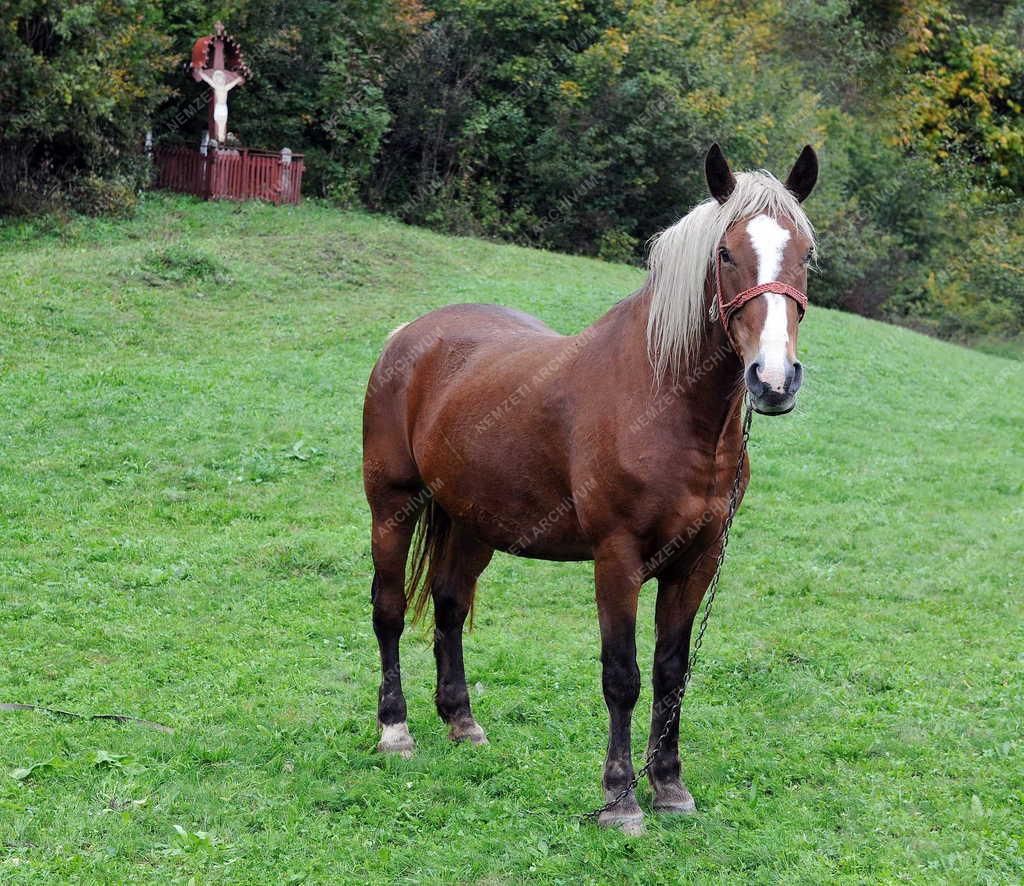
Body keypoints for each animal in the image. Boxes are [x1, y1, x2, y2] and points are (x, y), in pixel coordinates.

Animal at [364, 143, 819, 827]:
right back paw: (396, 731)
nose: (773, 380)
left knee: (449, 606)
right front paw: (620, 798)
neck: (660, 402)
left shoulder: (697, 561)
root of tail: (408, 337)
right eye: (724, 254)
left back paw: (462, 722)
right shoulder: (617, 559)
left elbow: (670, 672)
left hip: (473, 523)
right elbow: (622, 676)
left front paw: (670, 787)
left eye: (807, 254)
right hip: (391, 508)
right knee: (389, 610)